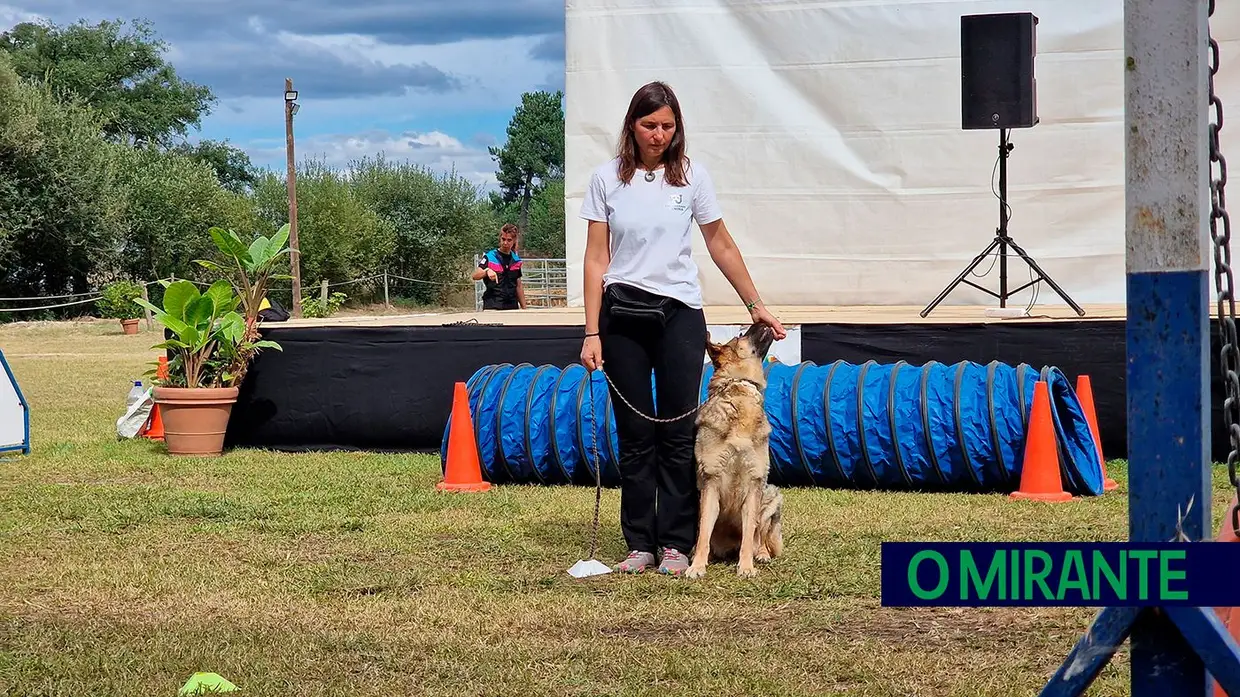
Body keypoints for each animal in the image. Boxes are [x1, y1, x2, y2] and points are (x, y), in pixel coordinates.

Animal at [689, 319, 783, 575]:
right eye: (741, 335)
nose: (761, 320)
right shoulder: (710, 483)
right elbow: (704, 532)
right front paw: (697, 565)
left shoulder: (754, 484)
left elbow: (749, 535)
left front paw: (747, 566)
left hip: (770, 496)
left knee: (759, 536)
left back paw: (761, 555)